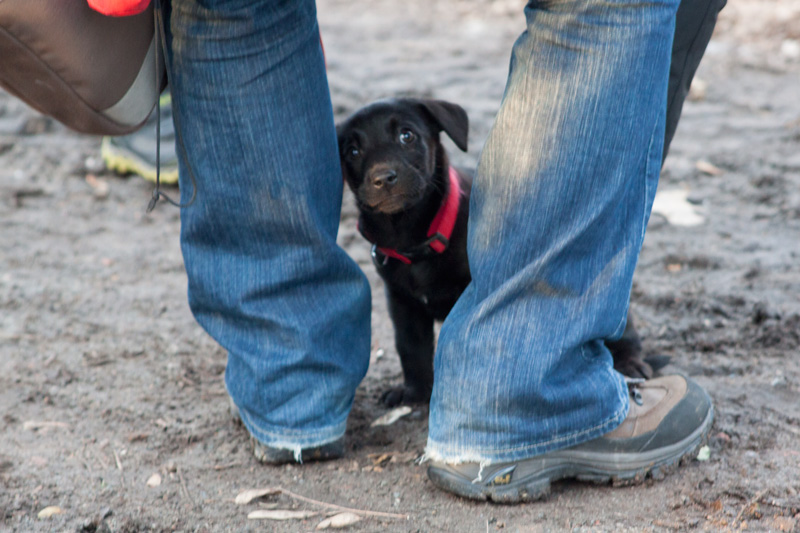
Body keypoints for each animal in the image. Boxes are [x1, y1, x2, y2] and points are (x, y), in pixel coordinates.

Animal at [338, 100, 656, 406]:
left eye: (407, 135)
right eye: (352, 151)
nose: (383, 177)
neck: (416, 238)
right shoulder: (402, 302)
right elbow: (410, 347)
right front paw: (414, 391)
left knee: (618, 328)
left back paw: (630, 364)